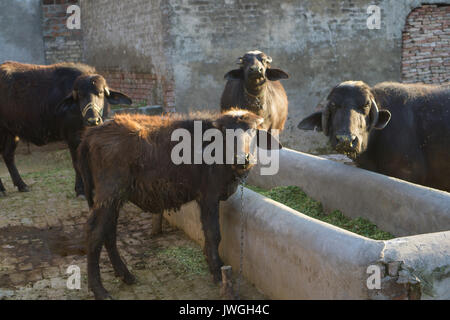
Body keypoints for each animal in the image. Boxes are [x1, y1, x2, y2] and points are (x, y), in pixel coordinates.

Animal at [0, 61, 133, 196]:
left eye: (100, 92)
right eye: (80, 95)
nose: (93, 121)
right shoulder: (73, 137)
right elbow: (77, 164)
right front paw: (80, 189)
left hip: (11, 132)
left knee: (8, 155)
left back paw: (22, 185)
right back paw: (2, 190)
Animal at [77, 109, 282, 298]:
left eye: (253, 131)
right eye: (226, 132)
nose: (241, 159)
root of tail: (92, 133)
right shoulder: (208, 196)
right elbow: (213, 234)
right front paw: (217, 271)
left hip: (114, 199)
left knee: (109, 232)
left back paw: (125, 275)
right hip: (109, 194)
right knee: (94, 233)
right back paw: (99, 290)